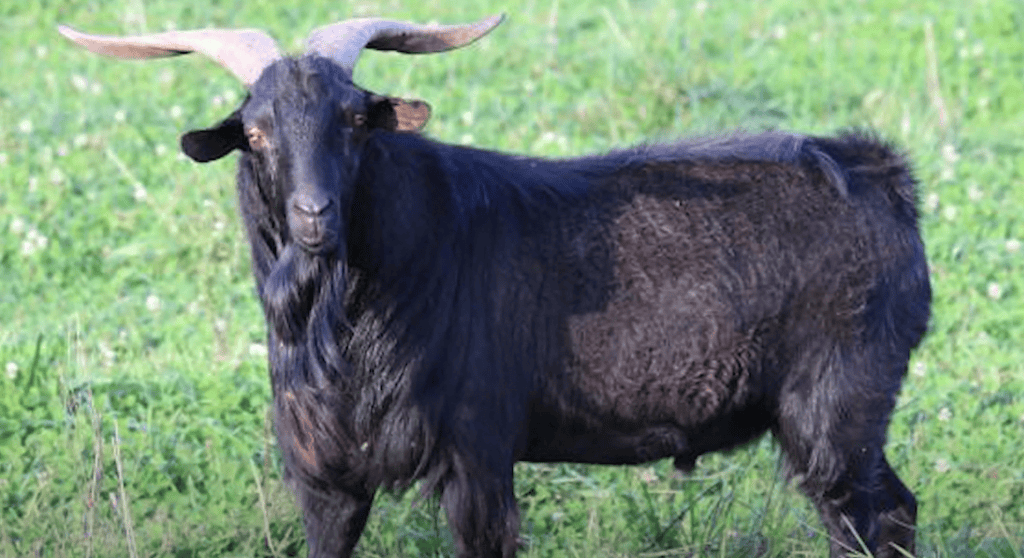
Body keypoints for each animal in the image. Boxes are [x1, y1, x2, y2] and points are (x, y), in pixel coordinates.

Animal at [60, 15, 930, 558]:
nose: (314, 214)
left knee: (870, 518)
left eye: (354, 119)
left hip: (838, 406)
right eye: (255, 129)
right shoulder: (324, 473)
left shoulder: (475, 450)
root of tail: (882, 175)